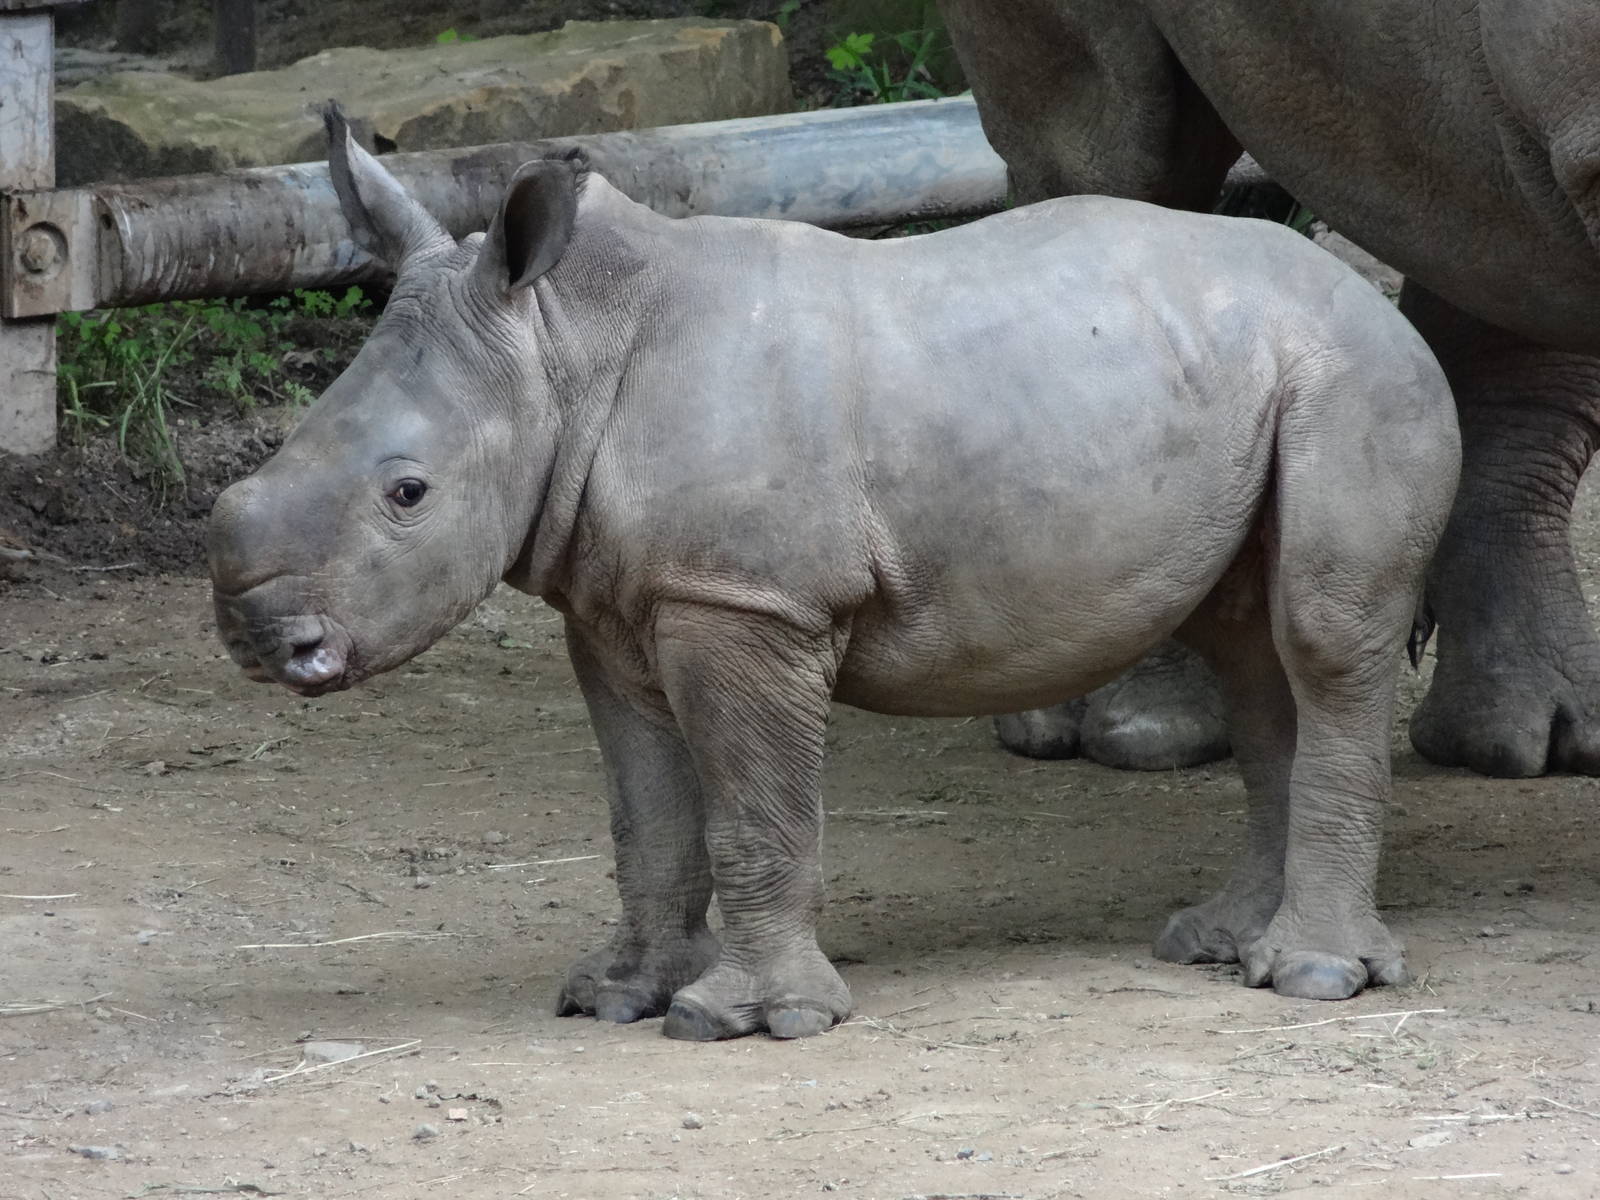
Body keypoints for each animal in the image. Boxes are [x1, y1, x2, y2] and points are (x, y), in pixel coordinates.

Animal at [207, 108, 1459, 1039]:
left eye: (407, 495)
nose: (261, 642)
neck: (566, 344)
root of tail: (1378, 298)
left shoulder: (746, 601)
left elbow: (751, 807)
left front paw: (741, 1021)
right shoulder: (616, 601)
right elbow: (644, 815)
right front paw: (615, 996)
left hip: (1353, 378)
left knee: (1318, 640)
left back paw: (1305, 978)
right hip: (1249, 374)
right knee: (1251, 649)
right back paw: (1221, 943)